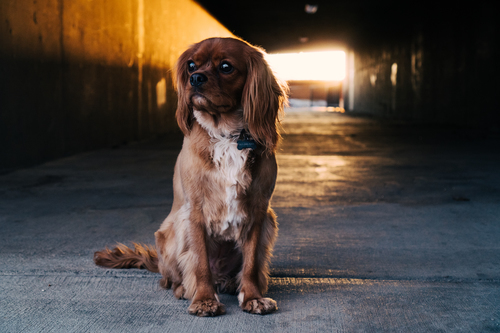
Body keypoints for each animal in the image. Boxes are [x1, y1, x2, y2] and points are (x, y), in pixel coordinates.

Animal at [94, 37, 290, 316]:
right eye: (191, 65)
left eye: (226, 66)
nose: (195, 78)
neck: (226, 135)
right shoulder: (195, 211)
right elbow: (199, 263)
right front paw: (204, 300)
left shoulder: (258, 211)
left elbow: (251, 262)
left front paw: (253, 297)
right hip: (171, 231)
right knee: (169, 279)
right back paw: (184, 289)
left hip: (270, 223)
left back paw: (233, 283)